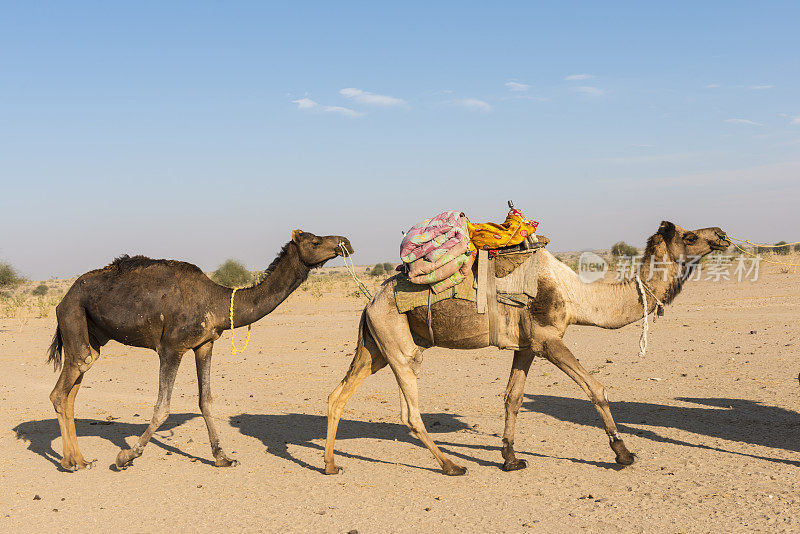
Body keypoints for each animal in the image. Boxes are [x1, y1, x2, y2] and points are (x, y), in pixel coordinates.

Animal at [47, 230, 354, 474]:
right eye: (315, 241)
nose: (346, 243)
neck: (217, 301)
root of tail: (63, 298)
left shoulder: (205, 345)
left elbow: (206, 401)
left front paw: (223, 458)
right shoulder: (171, 348)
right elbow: (162, 407)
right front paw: (126, 456)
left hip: (92, 335)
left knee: (74, 386)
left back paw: (79, 460)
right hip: (73, 315)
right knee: (63, 388)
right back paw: (70, 463)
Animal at [324, 222, 732, 478]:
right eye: (690, 236)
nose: (722, 235)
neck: (577, 294)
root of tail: (370, 301)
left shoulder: (527, 345)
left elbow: (512, 398)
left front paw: (510, 458)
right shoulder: (548, 338)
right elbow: (595, 388)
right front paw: (623, 452)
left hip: (375, 347)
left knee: (338, 395)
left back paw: (330, 465)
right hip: (398, 344)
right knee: (409, 412)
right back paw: (452, 466)